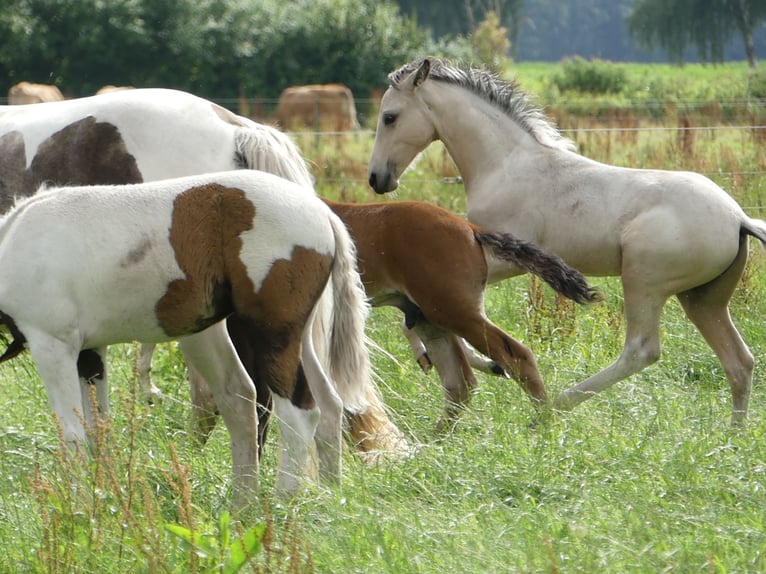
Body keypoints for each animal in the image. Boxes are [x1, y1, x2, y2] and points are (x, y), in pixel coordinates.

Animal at [0, 172, 374, 508]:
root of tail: (323, 212)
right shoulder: (90, 353)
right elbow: (97, 430)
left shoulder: (52, 344)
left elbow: (73, 435)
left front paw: (79, 511)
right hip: (297, 337)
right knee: (327, 406)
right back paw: (318, 500)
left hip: (271, 335)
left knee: (300, 414)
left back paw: (283, 503)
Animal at [368, 57, 766, 428]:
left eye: (389, 117)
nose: (376, 179)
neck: (505, 165)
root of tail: (738, 218)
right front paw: (478, 361)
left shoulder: (502, 259)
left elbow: (426, 317)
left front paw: (469, 360)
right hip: (703, 299)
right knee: (739, 362)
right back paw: (733, 436)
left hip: (644, 281)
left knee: (642, 350)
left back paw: (556, 406)